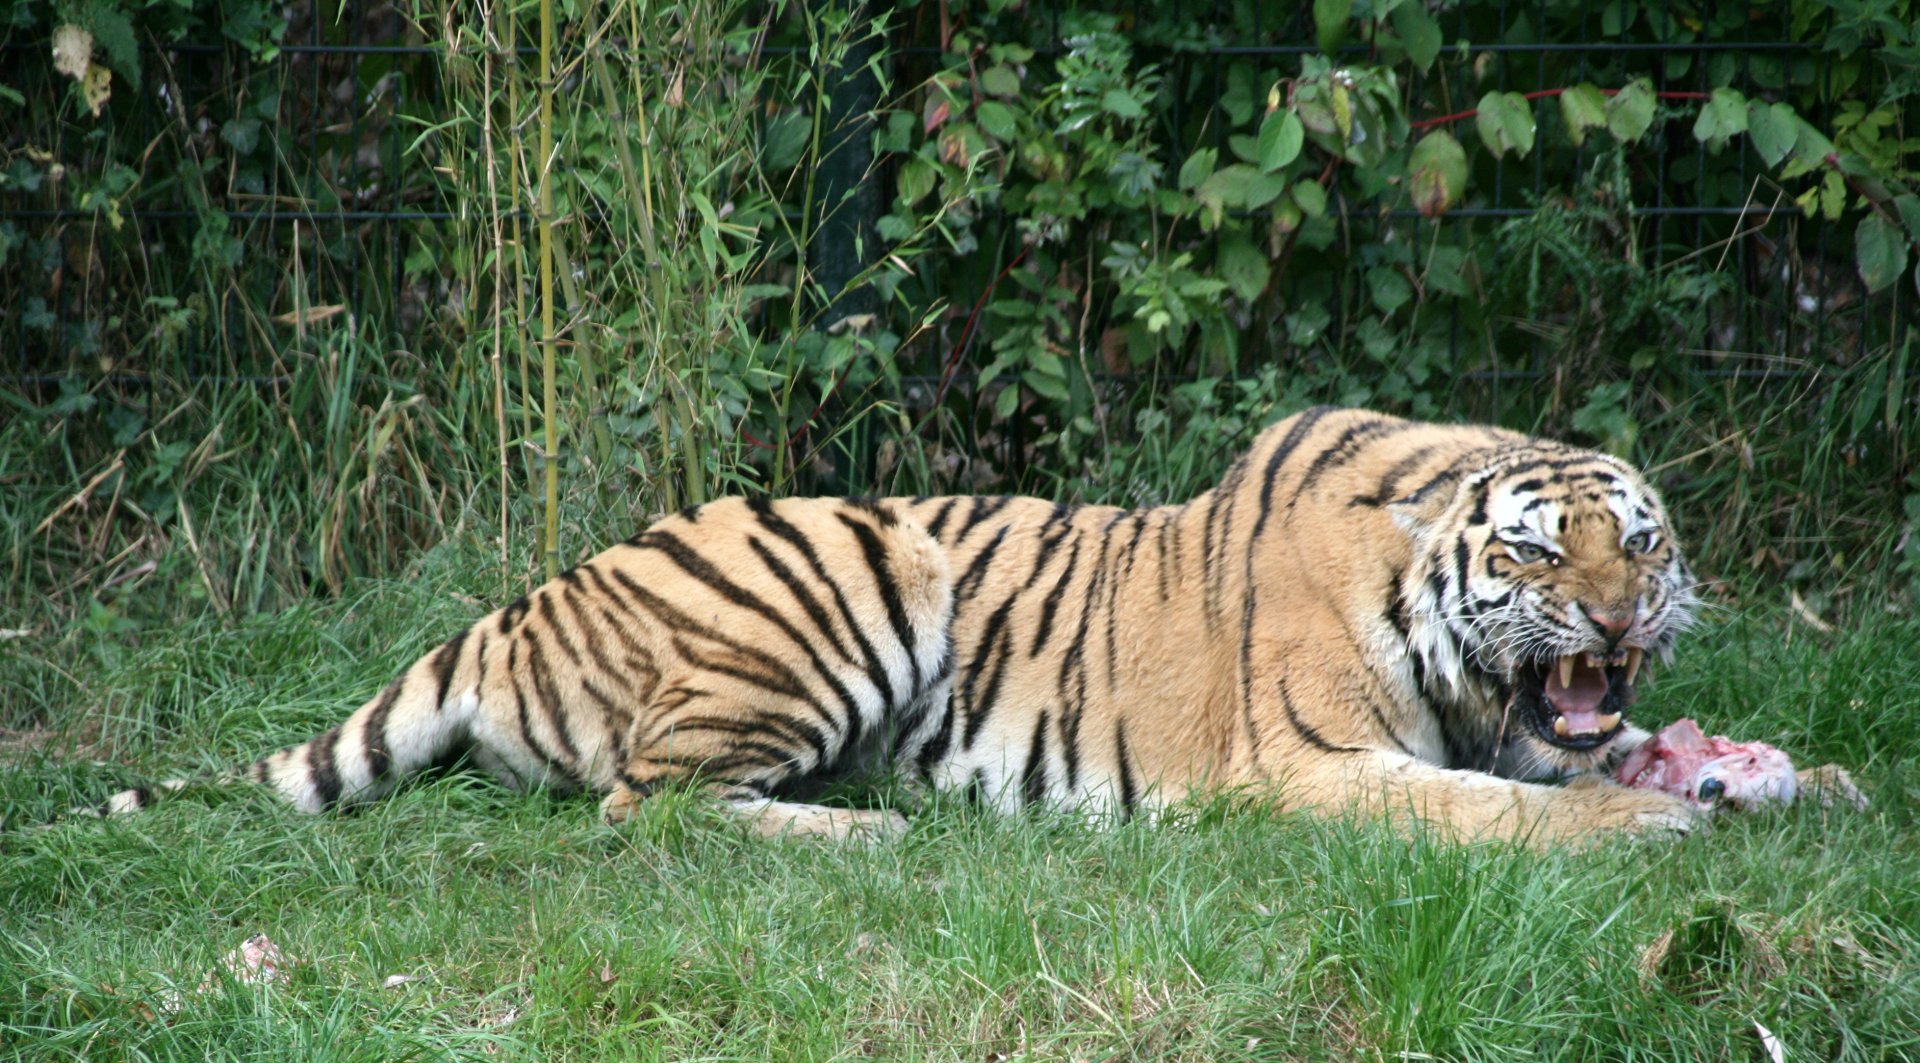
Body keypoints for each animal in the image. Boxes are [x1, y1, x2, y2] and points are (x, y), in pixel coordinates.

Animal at [92, 406, 1820, 844]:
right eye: (1534, 551)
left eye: (1642, 539)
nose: (1621, 611)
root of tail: (522, 601)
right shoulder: (1304, 769)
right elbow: (1494, 810)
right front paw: (1649, 828)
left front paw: (1777, 779)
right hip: (859, 565)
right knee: (644, 805)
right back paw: (870, 836)